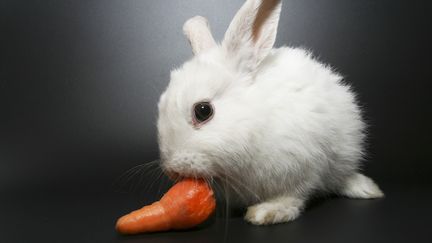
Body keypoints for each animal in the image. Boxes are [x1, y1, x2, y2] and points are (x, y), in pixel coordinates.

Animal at [156, 0, 384, 226]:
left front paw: (267, 213)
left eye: (203, 111)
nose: (171, 170)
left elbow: (292, 195)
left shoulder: (302, 163)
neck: (255, 121)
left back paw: (368, 189)